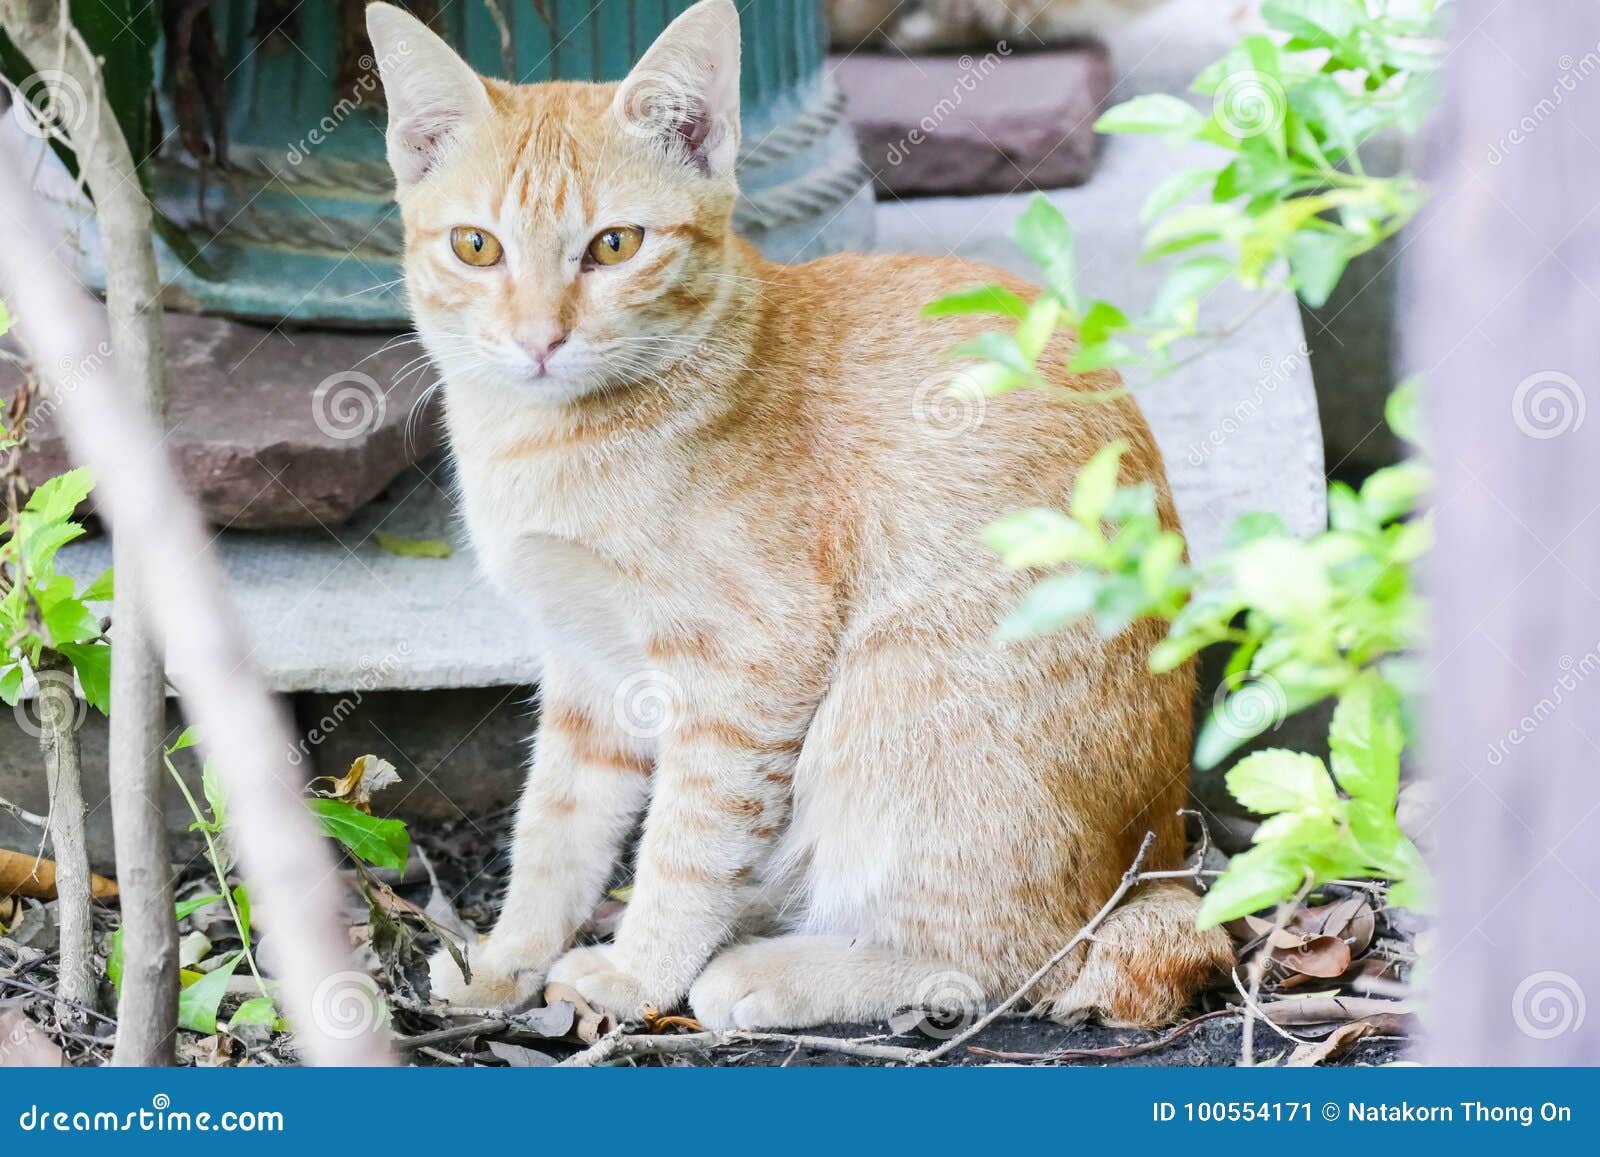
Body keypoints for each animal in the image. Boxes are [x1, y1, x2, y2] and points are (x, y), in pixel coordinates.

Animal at [368, 0, 1228, 1030]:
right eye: (476, 246)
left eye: (614, 245)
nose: (540, 339)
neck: (543, 443)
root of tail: (1161, 853)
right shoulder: (586, 667)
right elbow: (554, 830)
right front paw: (506, 960)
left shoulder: (746, 669)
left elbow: (686, 841)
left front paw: (638, 973)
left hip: (891, 707)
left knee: (1018, 958)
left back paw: (768, 972)